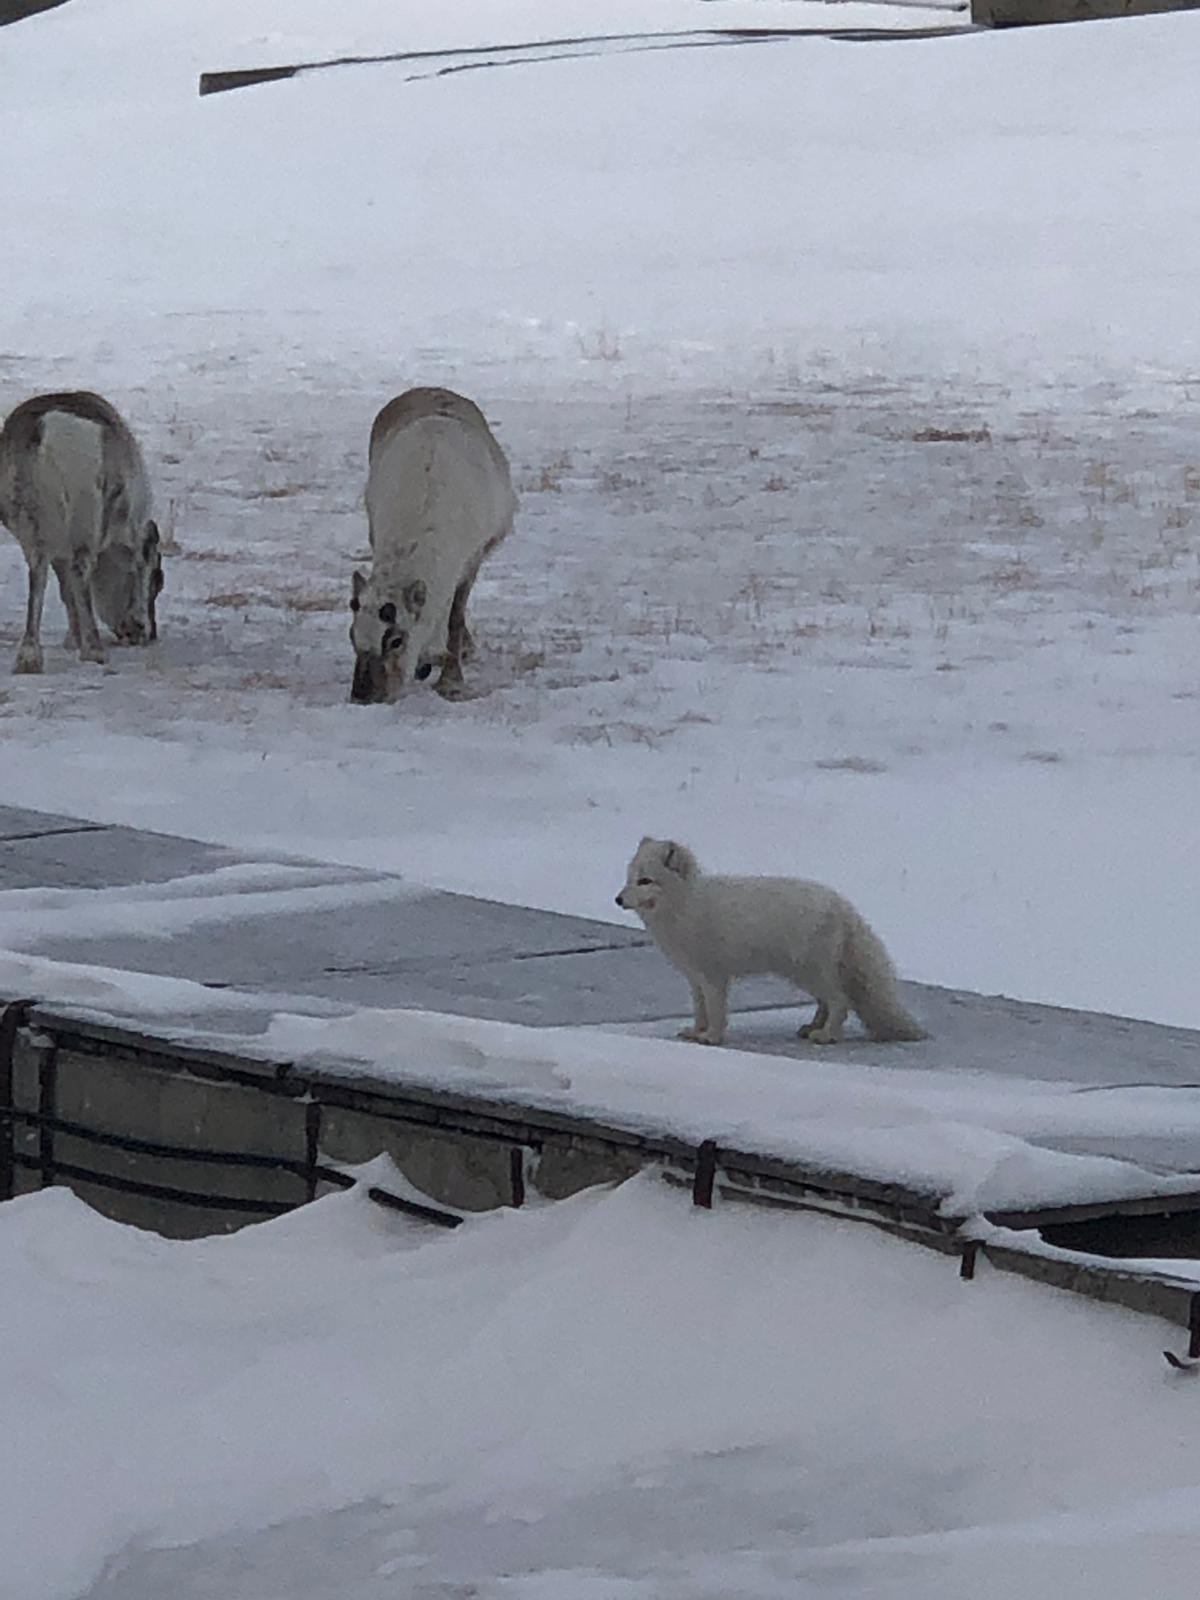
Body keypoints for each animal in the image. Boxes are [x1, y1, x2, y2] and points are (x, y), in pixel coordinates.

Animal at [614, 838, 928, 1049]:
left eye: (645, 880)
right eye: (629, 879)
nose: (617, 899)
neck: (685, 905)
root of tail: (843, 905)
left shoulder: (714, 976)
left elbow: (716, 1011)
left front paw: (712, 1038)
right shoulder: (695, 978)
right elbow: (700, 1010)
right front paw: (695, 1032)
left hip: (811, 971)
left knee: (841, 1001)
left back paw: (826, 1035)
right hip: (804, 975)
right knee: (826, 1002)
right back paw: (811, 1027)